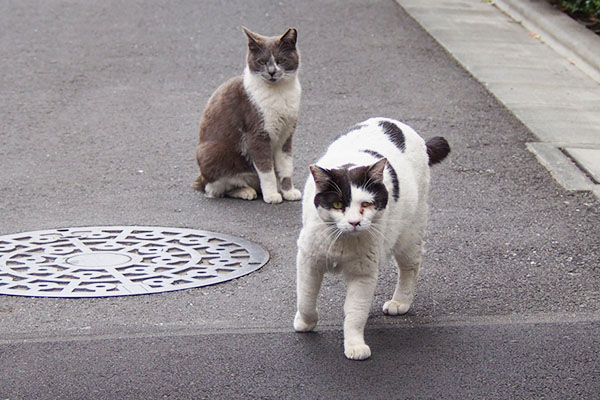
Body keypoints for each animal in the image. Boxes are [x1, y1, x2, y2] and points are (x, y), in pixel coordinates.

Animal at [292, 117, 452, 360]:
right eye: (338, 204)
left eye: (366, 204)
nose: (354, 222)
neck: (342, 241)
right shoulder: (309, 261)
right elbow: (306, 298)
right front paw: (305, 322)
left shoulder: (363, 273)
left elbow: (355, 313)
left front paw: (355, 345)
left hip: (410, 234)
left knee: (411, 267)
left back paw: (400, 301)